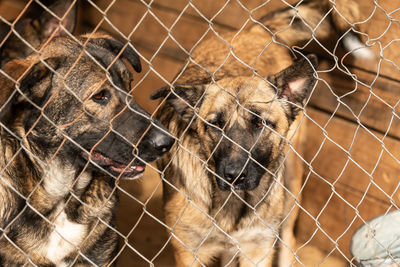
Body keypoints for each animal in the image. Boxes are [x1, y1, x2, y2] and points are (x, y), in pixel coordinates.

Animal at [152, 0, 370, 266]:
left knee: (288, 240)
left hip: (291, 190)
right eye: (215, 125)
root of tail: (254, 30)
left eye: (260, 124)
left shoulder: (257, 249)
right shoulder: (189, 252)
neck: (233, 204)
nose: (234, 175)